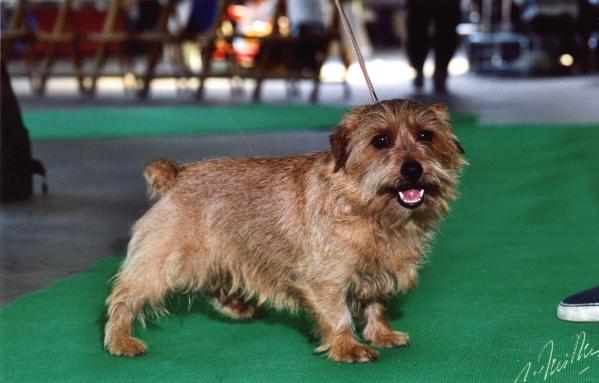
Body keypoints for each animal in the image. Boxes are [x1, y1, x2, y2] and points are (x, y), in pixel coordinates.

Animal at [104, 98, 468, 364]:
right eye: (380, 141)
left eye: (426, 136)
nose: (413, 169)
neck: (369, 211)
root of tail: (177, 174)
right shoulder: (326, 279)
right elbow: (338, 314)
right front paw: (348, 348)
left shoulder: (376, 271)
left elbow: (375, 304)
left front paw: (383, 334)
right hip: (162, 260)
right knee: (123, 297)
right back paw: (121, 340)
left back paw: (236, 307)